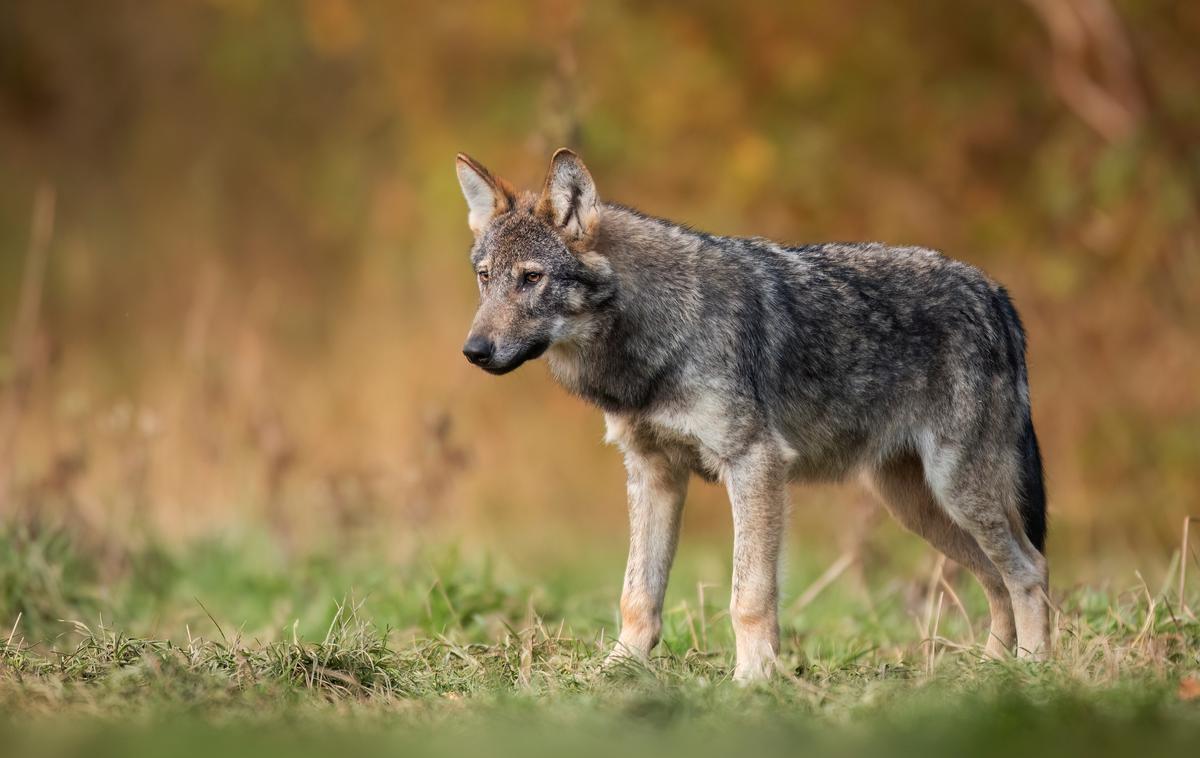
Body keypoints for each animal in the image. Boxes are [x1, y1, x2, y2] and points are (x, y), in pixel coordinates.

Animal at [453, 148, 1046, 681]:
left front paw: (752, 681)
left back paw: (1032, 671)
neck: (658, 338)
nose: (474, 351)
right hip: (918, 508)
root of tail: (995, 293)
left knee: (1030, 572)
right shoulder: (652, 473)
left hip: (957, 494)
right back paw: (992, 671)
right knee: (998, 581)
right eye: (485, 277)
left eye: (531, 278)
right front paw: (615, 671)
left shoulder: (755, 465)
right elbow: (637, 595)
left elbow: (750, 597)